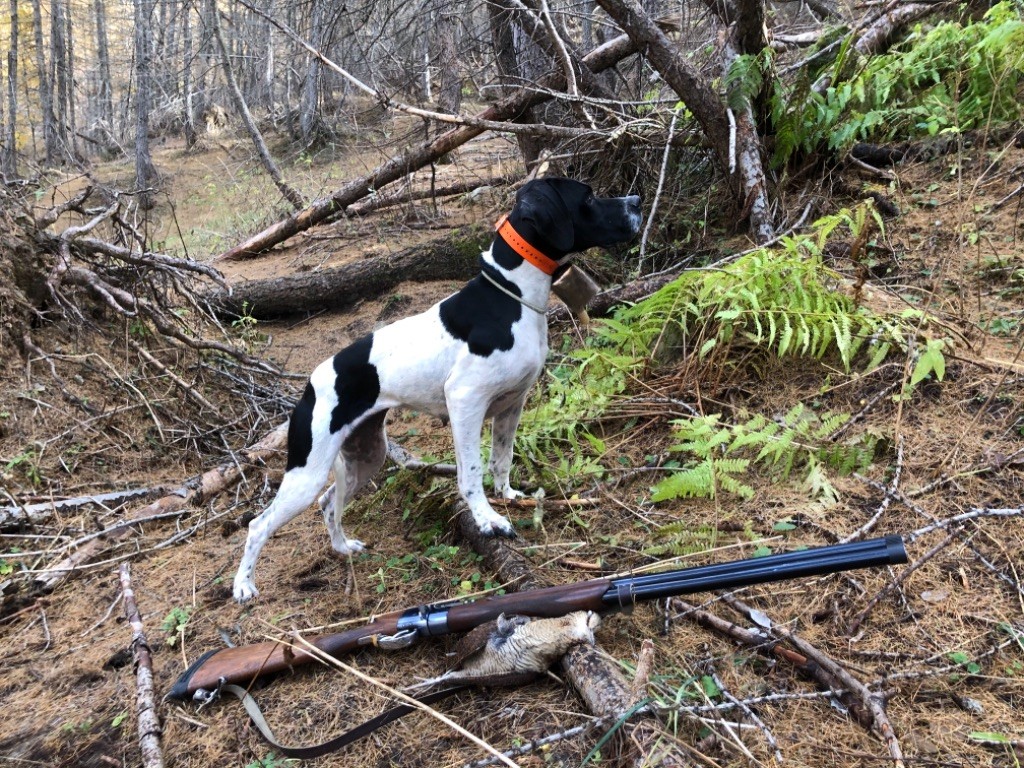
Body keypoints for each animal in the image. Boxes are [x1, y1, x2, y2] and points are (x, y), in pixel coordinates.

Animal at [232, 179, 638, 602]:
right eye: (587, 197)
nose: (637, 202)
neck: (510, 296)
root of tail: (311, 384)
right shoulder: (465, 401)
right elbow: (472, 473)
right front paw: (488, 520)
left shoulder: (512, 405)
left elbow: (501, 460)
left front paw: (508, 496)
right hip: (306, 474)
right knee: (259, 524)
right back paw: (243, 586)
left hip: (367, 456)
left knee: (329, 502)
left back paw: (343, 547)